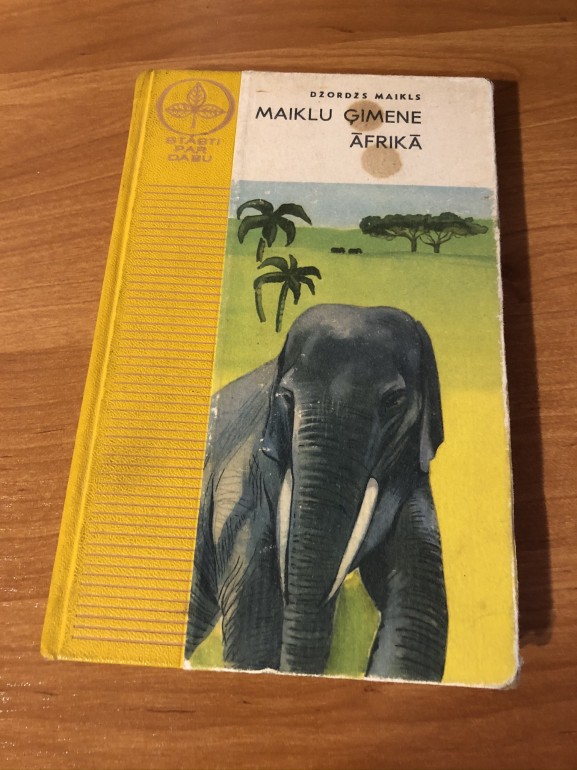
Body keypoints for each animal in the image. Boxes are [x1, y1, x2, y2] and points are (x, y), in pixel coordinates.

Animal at [185, 304, 448, 681]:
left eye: (394, 400)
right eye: (285, 396)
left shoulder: (411, 479)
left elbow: (419, 610)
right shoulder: (242, 484)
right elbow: (253, 616)